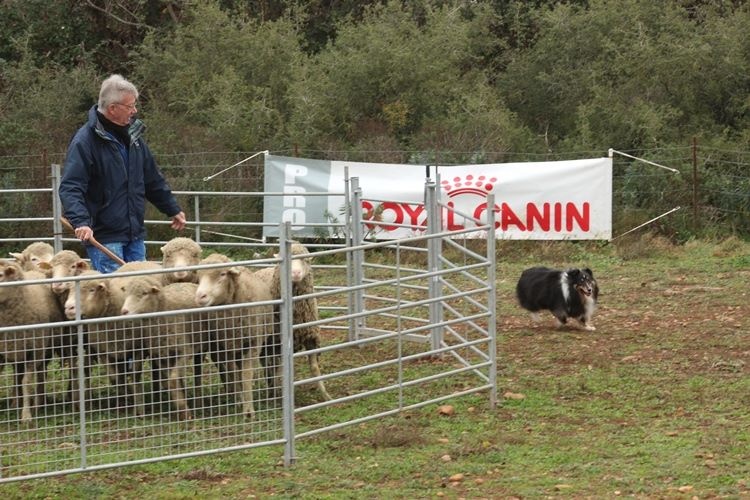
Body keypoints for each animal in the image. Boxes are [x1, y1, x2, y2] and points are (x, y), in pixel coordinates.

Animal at [0, 262, 64, 422]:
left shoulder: (35, 351)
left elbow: (26, 382)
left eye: (1, 275)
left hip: (44, 348)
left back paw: (38, 403)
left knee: (41, 373)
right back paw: (15, 402)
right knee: (17, 374)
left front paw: (26, 415)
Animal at [194, 252, 276, 420]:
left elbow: (246, 374)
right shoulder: (226, 345)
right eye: (199, 277)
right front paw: (240, 401)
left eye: (222, 274)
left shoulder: (252, 344)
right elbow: (233, 373)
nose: (200, 297)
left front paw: (249, 411)